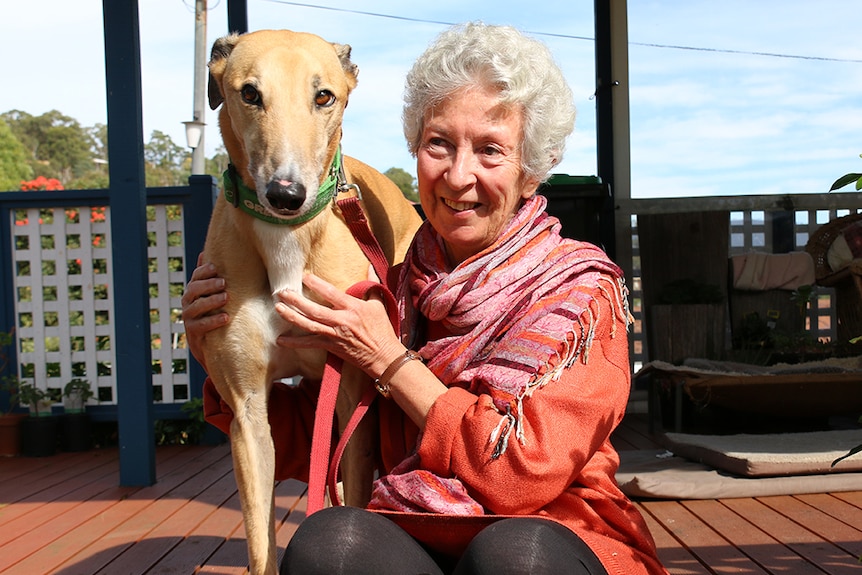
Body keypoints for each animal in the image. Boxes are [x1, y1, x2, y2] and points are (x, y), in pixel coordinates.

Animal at [200, 30, 422, 575]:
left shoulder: (352, 395)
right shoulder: (247, 413)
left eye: (324, 96)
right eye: (250, 93)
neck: (287, 239)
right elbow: (261, 542)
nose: (286, 194)